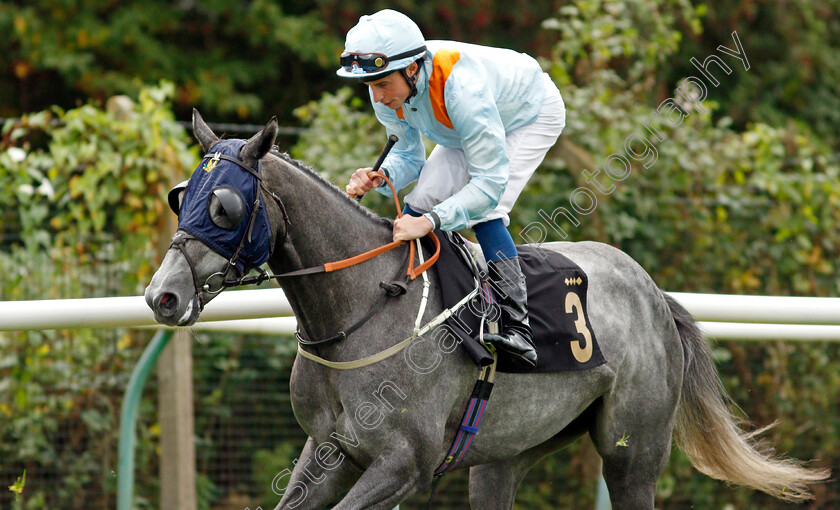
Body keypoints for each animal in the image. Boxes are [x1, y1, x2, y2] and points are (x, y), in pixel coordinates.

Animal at [144, 114, 828, 510]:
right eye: (182, 197)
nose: (162, 295)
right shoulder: (329, 452)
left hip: (633, 452)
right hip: (506, 454)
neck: (362, 309)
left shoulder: (404, 462)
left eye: (225, 206)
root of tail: (654, 294)